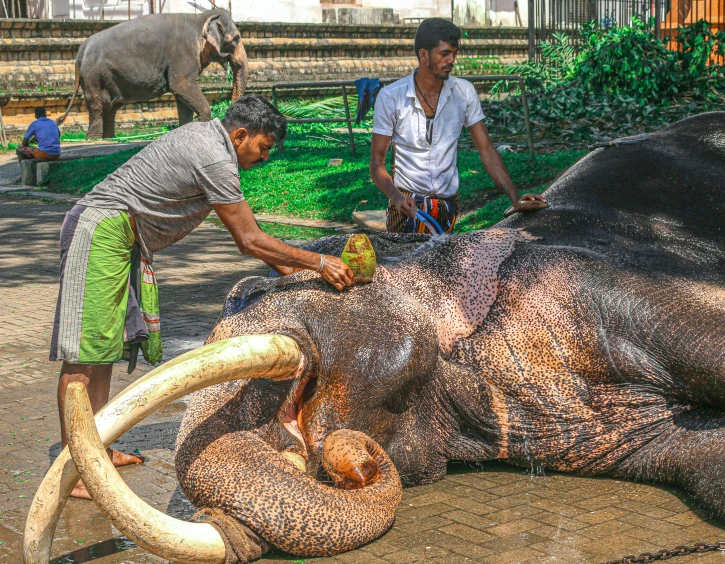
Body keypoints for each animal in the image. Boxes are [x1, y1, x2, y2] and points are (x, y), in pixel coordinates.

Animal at [56, 9, 249, 139]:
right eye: (236, 39)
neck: (201, 17)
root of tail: (82, 48)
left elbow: (182, 96)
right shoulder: (182, 52)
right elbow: (182, 86)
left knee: (112, 105)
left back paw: (109, 138)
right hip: (93, 76)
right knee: (97, 103)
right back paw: (95, 138)